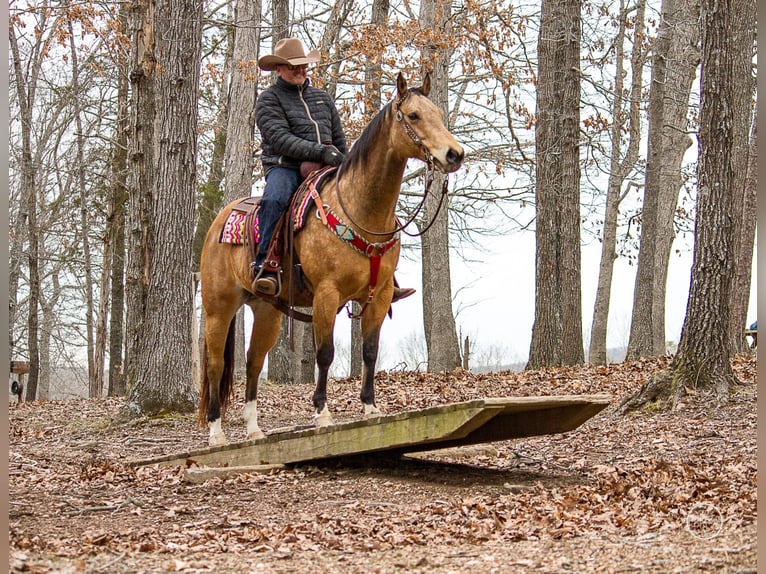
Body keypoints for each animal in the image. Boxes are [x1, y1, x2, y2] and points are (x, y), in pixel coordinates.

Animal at [195, 72, 464, 448]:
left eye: (438, 113)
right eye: (413, 115)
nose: (455, 154)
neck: (360, 210)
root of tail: (218, 223)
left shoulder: (379, 295)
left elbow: (369, 350)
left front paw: (370, 408)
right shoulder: (327, 294)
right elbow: (325, 353)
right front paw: (322, 413)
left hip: (267, 311)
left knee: (252, 362)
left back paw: (254, 430)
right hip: (219, 308)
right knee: (216, 364)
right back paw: (217, 433)